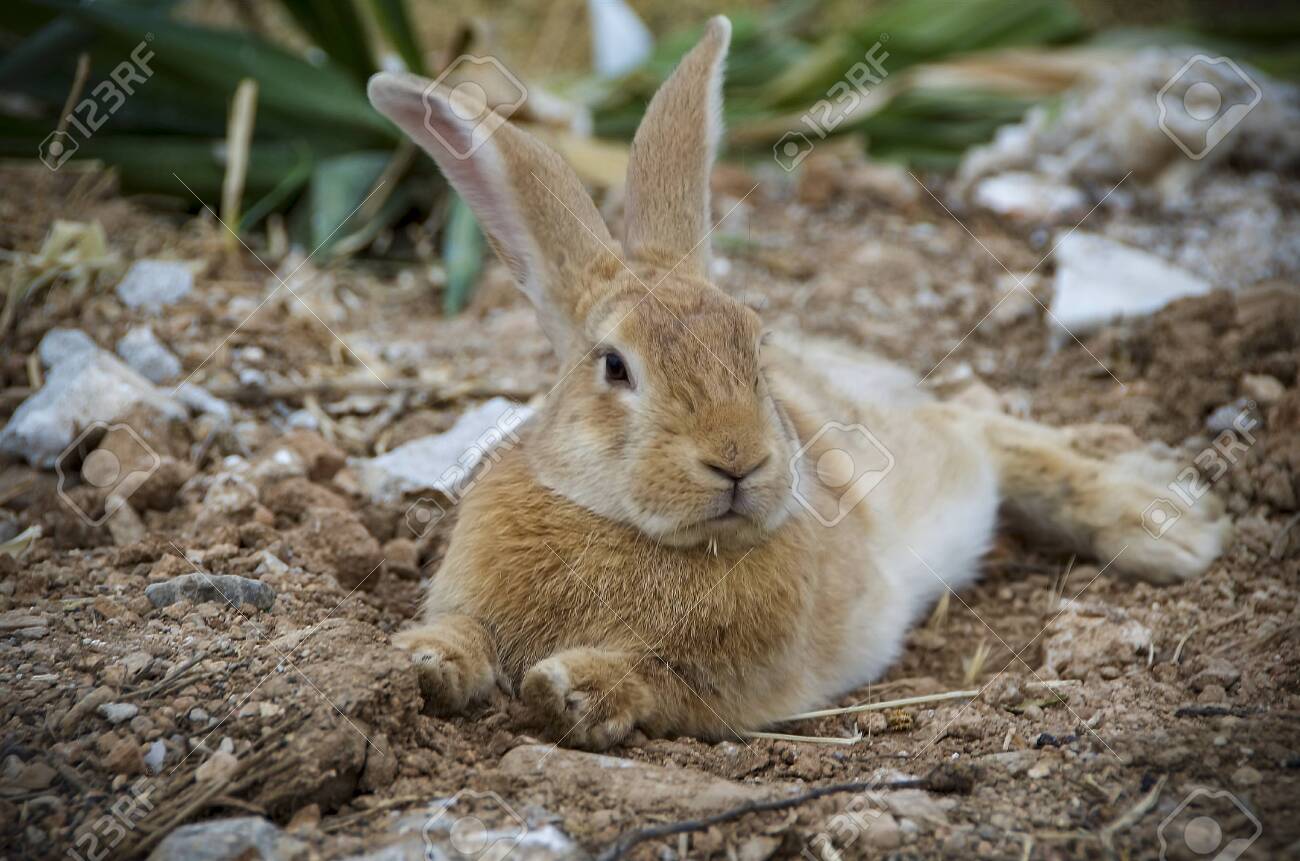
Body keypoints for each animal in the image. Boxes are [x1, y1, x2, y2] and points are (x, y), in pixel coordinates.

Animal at [366, 17, 1231, 750]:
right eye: (614, 365)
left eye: (756, 346)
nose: (738, 459)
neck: (628, 526)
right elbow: (467, 631)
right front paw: (424, 661)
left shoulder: (734, 679)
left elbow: (658, 677)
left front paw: (570, 686)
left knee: (984, 431)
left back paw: (1166, 527)